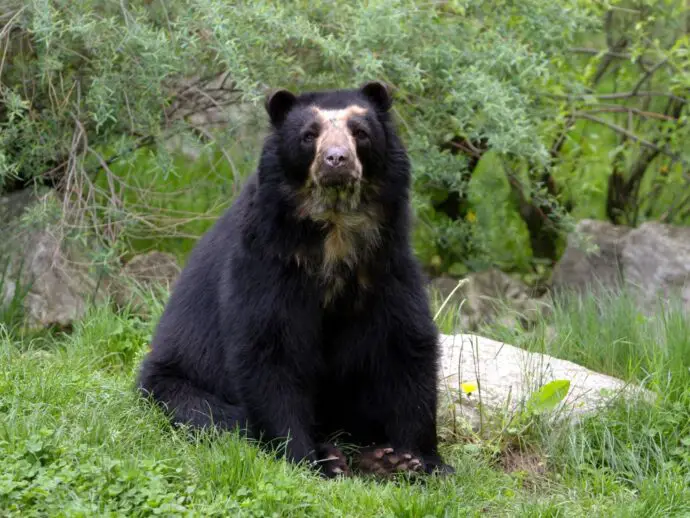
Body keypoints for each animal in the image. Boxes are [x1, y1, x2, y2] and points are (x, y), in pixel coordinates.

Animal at [137, 79, 454, 482]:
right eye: (308, 135)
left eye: (360, 133)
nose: (336, 159)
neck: (335, 230)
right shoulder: (267, 262)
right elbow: (270, 348)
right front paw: (309, 459)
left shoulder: (386, 263)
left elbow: (404, 347)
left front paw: (417, 459)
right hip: (173, 382)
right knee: (211, 414)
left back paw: (377, 458)